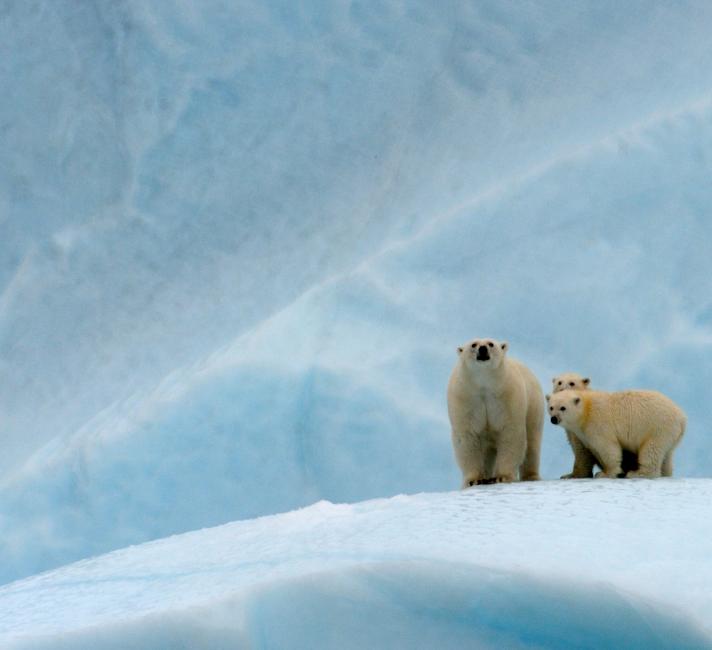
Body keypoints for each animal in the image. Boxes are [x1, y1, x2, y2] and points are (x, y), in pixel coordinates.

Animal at [448, 340, 544, 486]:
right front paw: (474, 480)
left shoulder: (507, 395)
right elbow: (467, 436)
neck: (484, 384)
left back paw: (531, 476)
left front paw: (501, 477)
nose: (482, 349)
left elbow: (510, 432)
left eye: (491, 343)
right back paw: (487, 477)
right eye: (473, 344)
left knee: (532, 443)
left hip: (534, 405)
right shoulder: (465, 397)